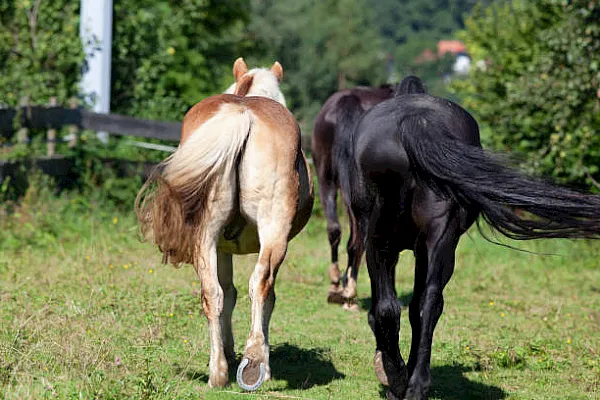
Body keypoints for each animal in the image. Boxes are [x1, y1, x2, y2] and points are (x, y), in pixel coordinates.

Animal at [136, 57, 314, 390]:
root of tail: (242, 114)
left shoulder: (220, 247)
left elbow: (227, 293)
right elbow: (260, 296)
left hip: (204, 236)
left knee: (212, 293)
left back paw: (218, 372)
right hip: (273, 233)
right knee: (260, 286)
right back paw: (255, 363)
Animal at [338, 83, 600, 398]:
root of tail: (417, 123)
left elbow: (386, 309)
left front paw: (391, 373)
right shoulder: (424, 249)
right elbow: (417, 306)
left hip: (380, 239)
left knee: (390, 307)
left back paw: (399, 379)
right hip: (442, 237)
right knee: (429, 302)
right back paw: (417, 384)